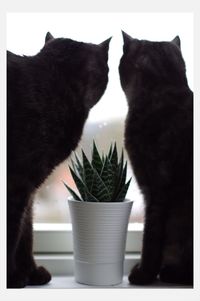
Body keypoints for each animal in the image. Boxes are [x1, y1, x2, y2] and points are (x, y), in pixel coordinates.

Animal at [7, 31, 111, 288]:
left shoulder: (28, 189)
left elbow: (26, 232)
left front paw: (31, 273)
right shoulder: (16, 183)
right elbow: (12, 232)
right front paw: (13, 277)